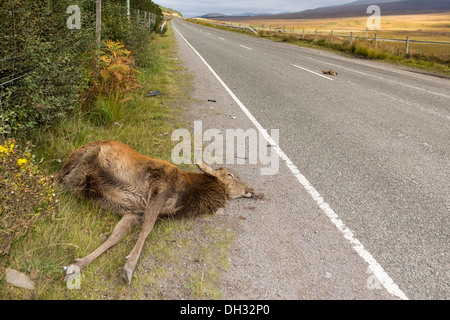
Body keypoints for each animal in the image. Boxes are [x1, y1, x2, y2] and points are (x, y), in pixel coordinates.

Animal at [56, 140, 255, 282]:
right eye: (229, 175)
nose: (250, 189)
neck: (186, 200)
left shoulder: (134, 212)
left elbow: (115, 236)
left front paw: (77, 265)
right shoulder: (161, 189)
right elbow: (147, 228)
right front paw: (129, 267)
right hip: (82, 168)